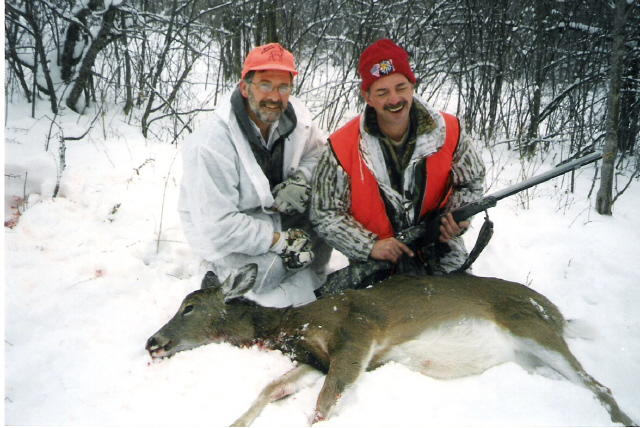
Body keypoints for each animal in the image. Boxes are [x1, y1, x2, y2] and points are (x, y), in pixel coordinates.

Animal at [148, 262, 636, 426]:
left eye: (189, 306)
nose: (152, 341)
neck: (289, 324)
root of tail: (557, 312)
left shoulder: (359, 330)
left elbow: (322, 406)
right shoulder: (315, 358)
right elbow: (271, 388)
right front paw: (235, 422)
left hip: (534, 329)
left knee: (602, 385)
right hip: (531, 353)